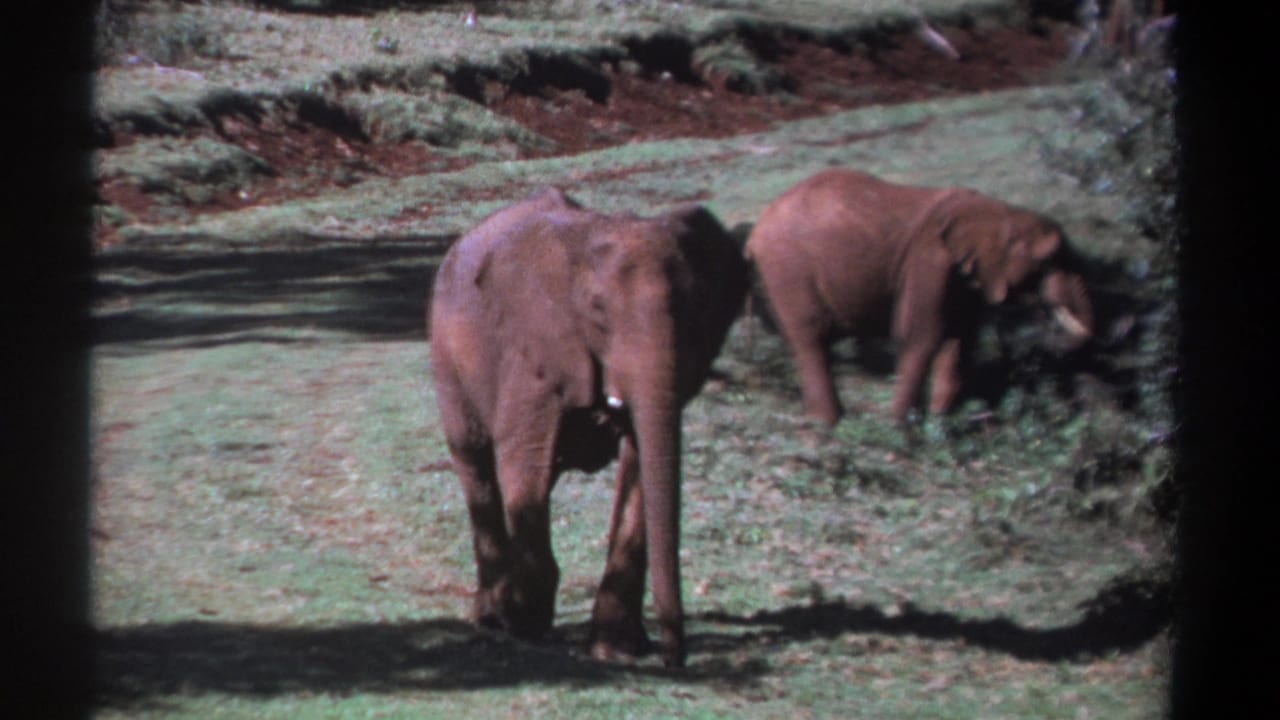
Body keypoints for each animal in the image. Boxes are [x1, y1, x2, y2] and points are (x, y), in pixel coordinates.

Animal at [428, 187, 748, 667]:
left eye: (699, 307)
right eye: (598, 310)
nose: (674, 660)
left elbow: (639, 469)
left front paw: (616, 650)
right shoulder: (534, 353)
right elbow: (523, 460)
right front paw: (524, 622)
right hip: (447, 358)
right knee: (477, 464)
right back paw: (491, 617)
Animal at [745, 168, 1094, 427]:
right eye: (1048, 259)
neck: (999, 211)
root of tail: (757, 229)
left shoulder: (964, 275)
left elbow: (960, 339)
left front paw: (942, 422)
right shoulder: (930, 260)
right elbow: (922, 334)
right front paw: (902, 427)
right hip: (788, 266)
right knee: (811, 337)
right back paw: (827, 423)